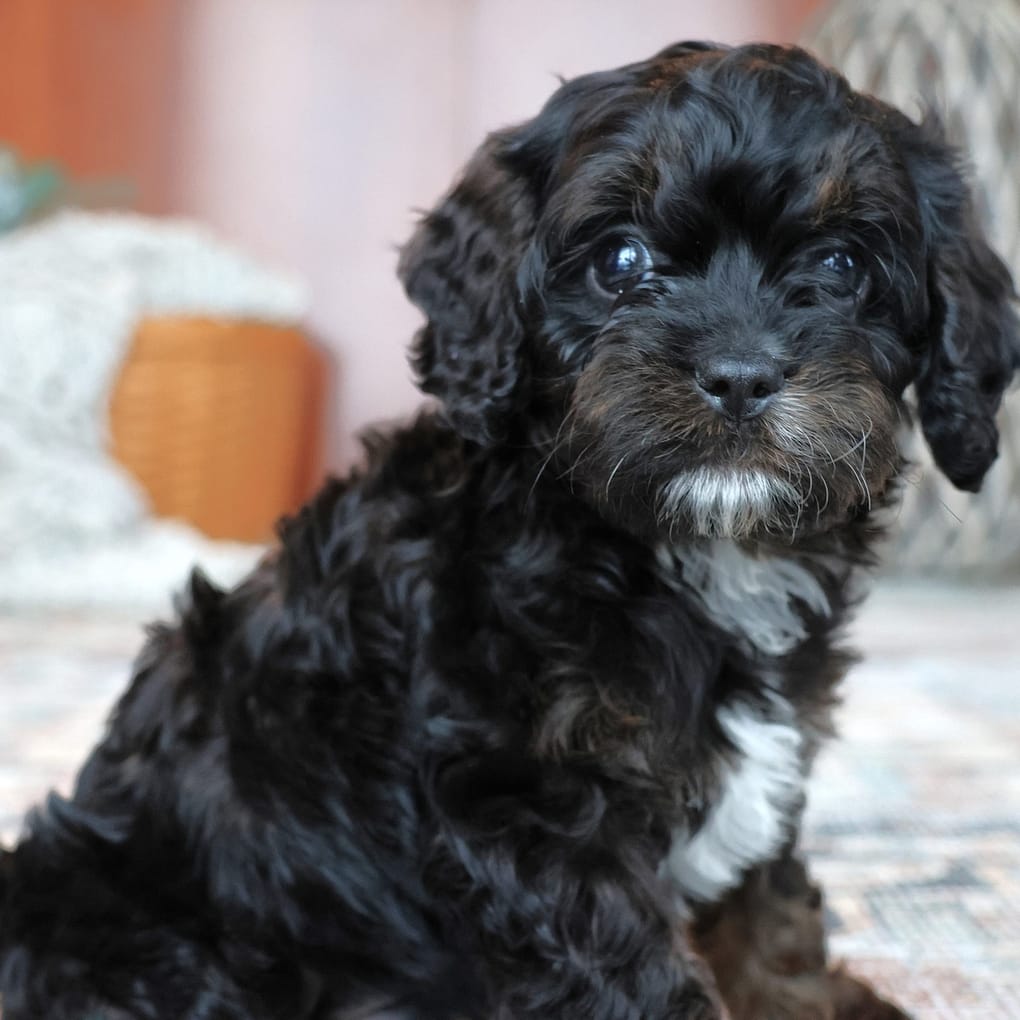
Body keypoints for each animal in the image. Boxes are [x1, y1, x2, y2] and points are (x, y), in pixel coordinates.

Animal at [1, 39, 1020, 1020]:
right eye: (621, 261)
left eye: (843, 265)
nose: (739, 374)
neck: (684, 550)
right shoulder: (528, 793)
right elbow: (630, 970)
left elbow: (766, 906)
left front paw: (798, 995)